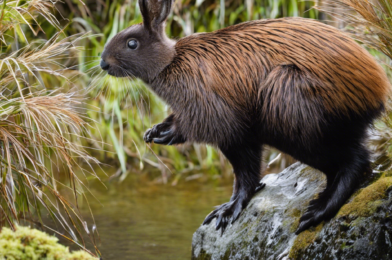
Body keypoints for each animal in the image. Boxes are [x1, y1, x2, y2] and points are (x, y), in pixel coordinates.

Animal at [100, 0, 388, 234]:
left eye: (132, 43)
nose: (102, 63)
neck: (173, 62)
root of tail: (378, 91)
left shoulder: (226, 125)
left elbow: (244, 176)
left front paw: (228, 212)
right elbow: (246, 175)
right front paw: (155, 131)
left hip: (287, 106)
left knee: (355, 161)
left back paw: (319, 210)